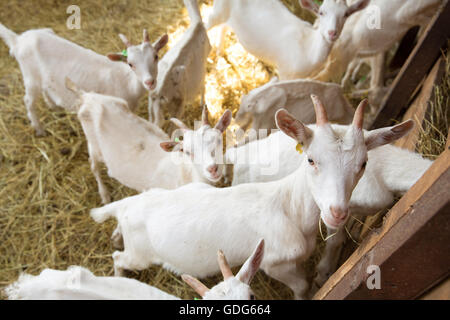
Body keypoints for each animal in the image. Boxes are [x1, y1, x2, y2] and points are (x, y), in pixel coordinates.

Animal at [0, 23, 168, 136]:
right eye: (130, 64)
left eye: (156, 56)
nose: (149, 82)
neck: (127, 81)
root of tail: (18, 40)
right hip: (30, 76)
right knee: (28, 100)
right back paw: (39, 129)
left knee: (45, 88)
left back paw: (54, 107)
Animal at [69, 81, 232, 204]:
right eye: (187, 152)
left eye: (219, 140)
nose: (213, 169)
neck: (184, 173)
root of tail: (86, 96)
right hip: (93, 143)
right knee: (93, 164)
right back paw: (104, 194)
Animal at [89, 96, 414, 298]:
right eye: (310, 159)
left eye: (363, 164)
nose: (337, 212)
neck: (289, 206)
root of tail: (129, 205)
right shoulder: (276, 263)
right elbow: (301, 287)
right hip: (139, 254)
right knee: (120, 258)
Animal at [206, 0, 370, 79]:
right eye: (321, 12)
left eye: (346, 14)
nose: (332, 33)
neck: (308, 49)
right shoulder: (286, 72)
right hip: (218, 10)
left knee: (224, 27)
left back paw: (220, 52)